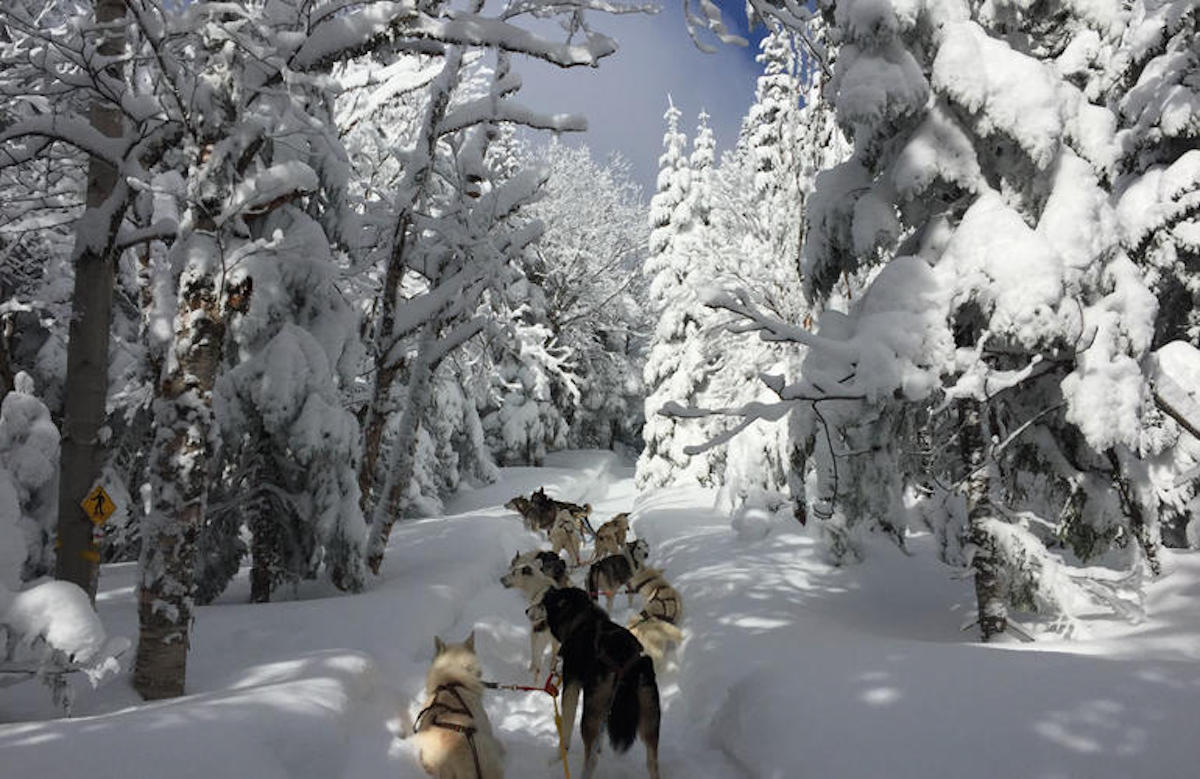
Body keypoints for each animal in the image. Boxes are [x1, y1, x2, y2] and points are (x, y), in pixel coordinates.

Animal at [537, 583, 667, 777]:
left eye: (544, 601)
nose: (527, 610)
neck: (582, 622)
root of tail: (625, 661)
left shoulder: (571, 685)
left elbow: (566, 728)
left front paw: (558, 756)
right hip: (650, 720)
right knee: (652, 763)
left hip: (590, 713)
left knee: (591, 760)